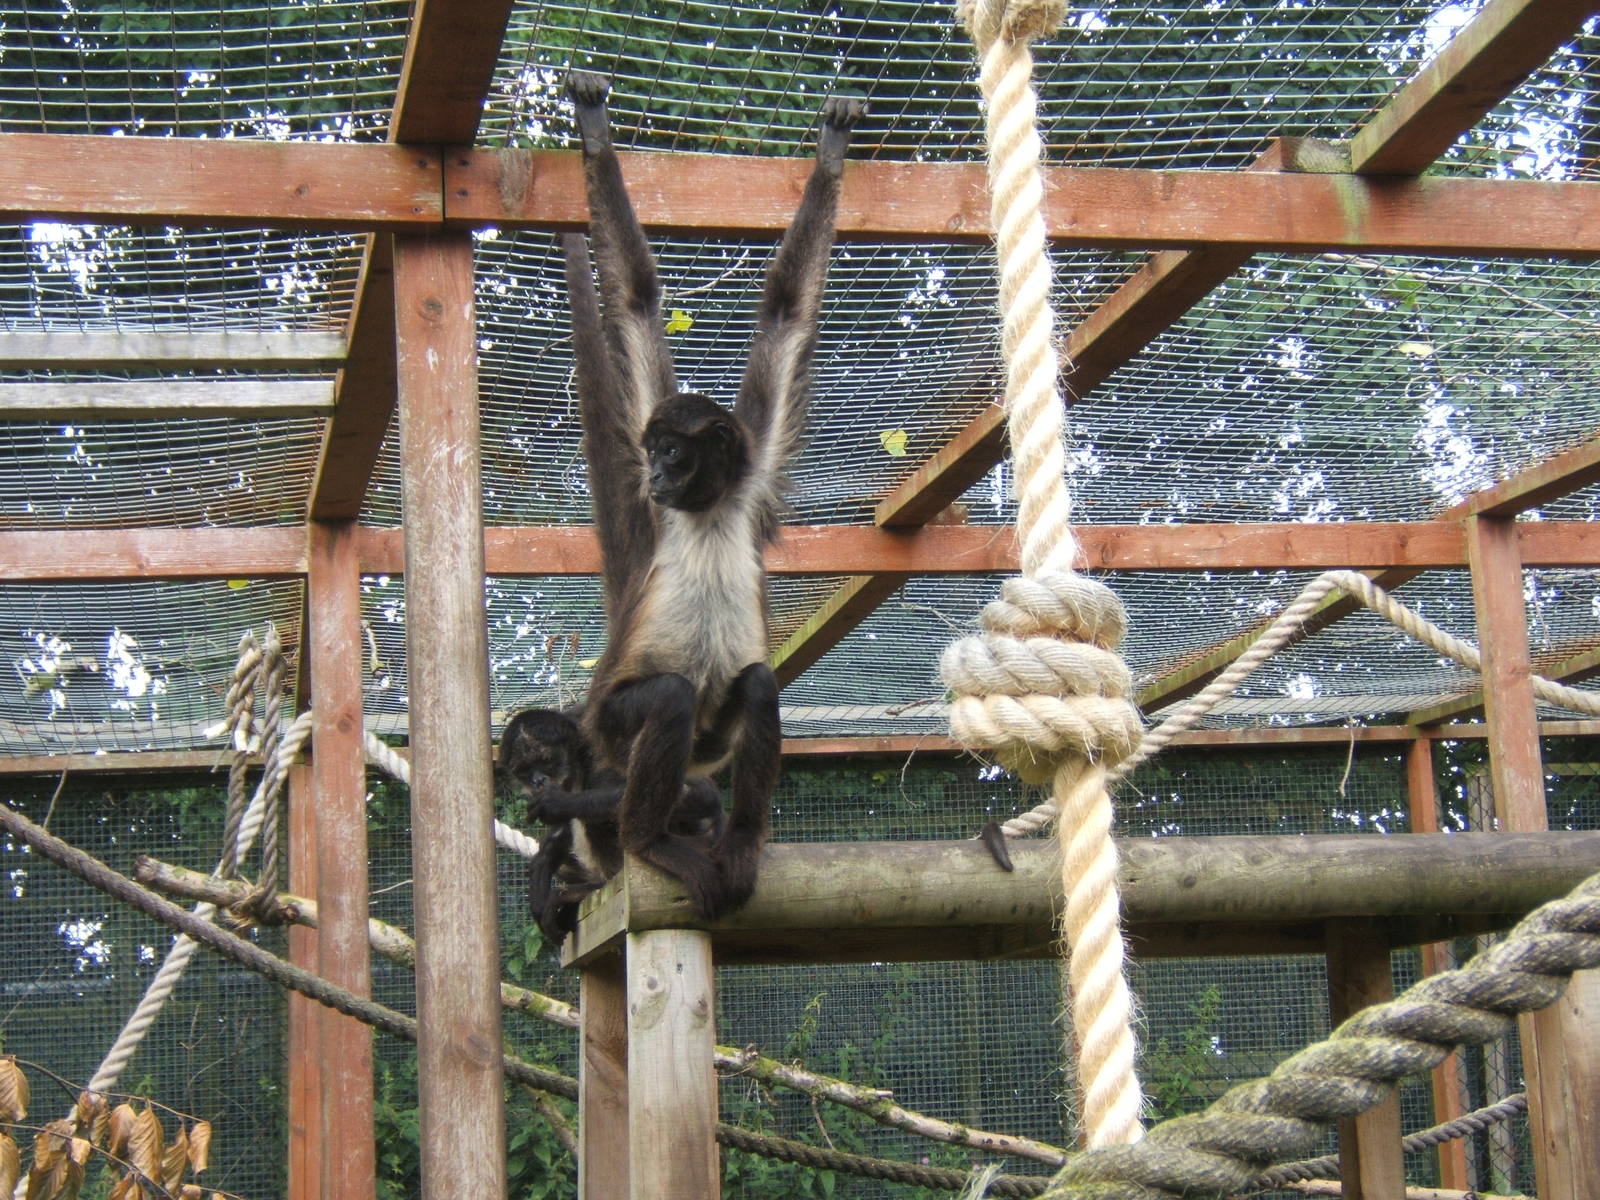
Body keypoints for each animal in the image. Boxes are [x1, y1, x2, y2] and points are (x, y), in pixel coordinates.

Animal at [497, 707, 725, 942]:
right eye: (524, 771)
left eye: (547, 760)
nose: (537, 781)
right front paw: (544, 860)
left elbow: (700, 793)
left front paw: (557, 804)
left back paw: (596, 885)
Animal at [559, 69, 864, 919]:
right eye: (653, 450)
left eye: (674, 451)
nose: (657, 475)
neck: (704, 509)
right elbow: (635, 297)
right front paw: (594, 130)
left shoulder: (752, 476)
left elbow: (787, 310)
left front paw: (831, 152)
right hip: (611, 726)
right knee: (664, 696)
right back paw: (646, 841)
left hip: (712, 736)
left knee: (755, 684)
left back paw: (741, 841)